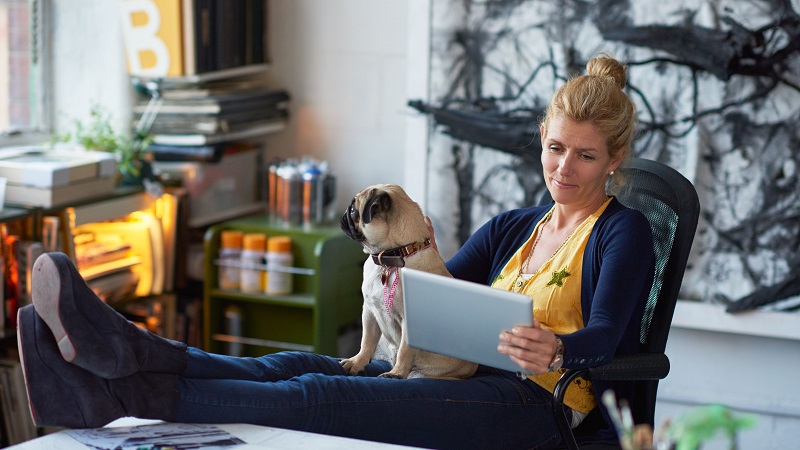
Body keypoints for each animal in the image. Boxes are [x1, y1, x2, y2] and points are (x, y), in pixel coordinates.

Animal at [336, 183, 476, 380]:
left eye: (353, 210)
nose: (343, 215)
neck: (390, 257)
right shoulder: (369, 312)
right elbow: (367, 341)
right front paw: (357, 362)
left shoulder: (408, 324)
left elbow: (404, 351)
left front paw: (396, 373)